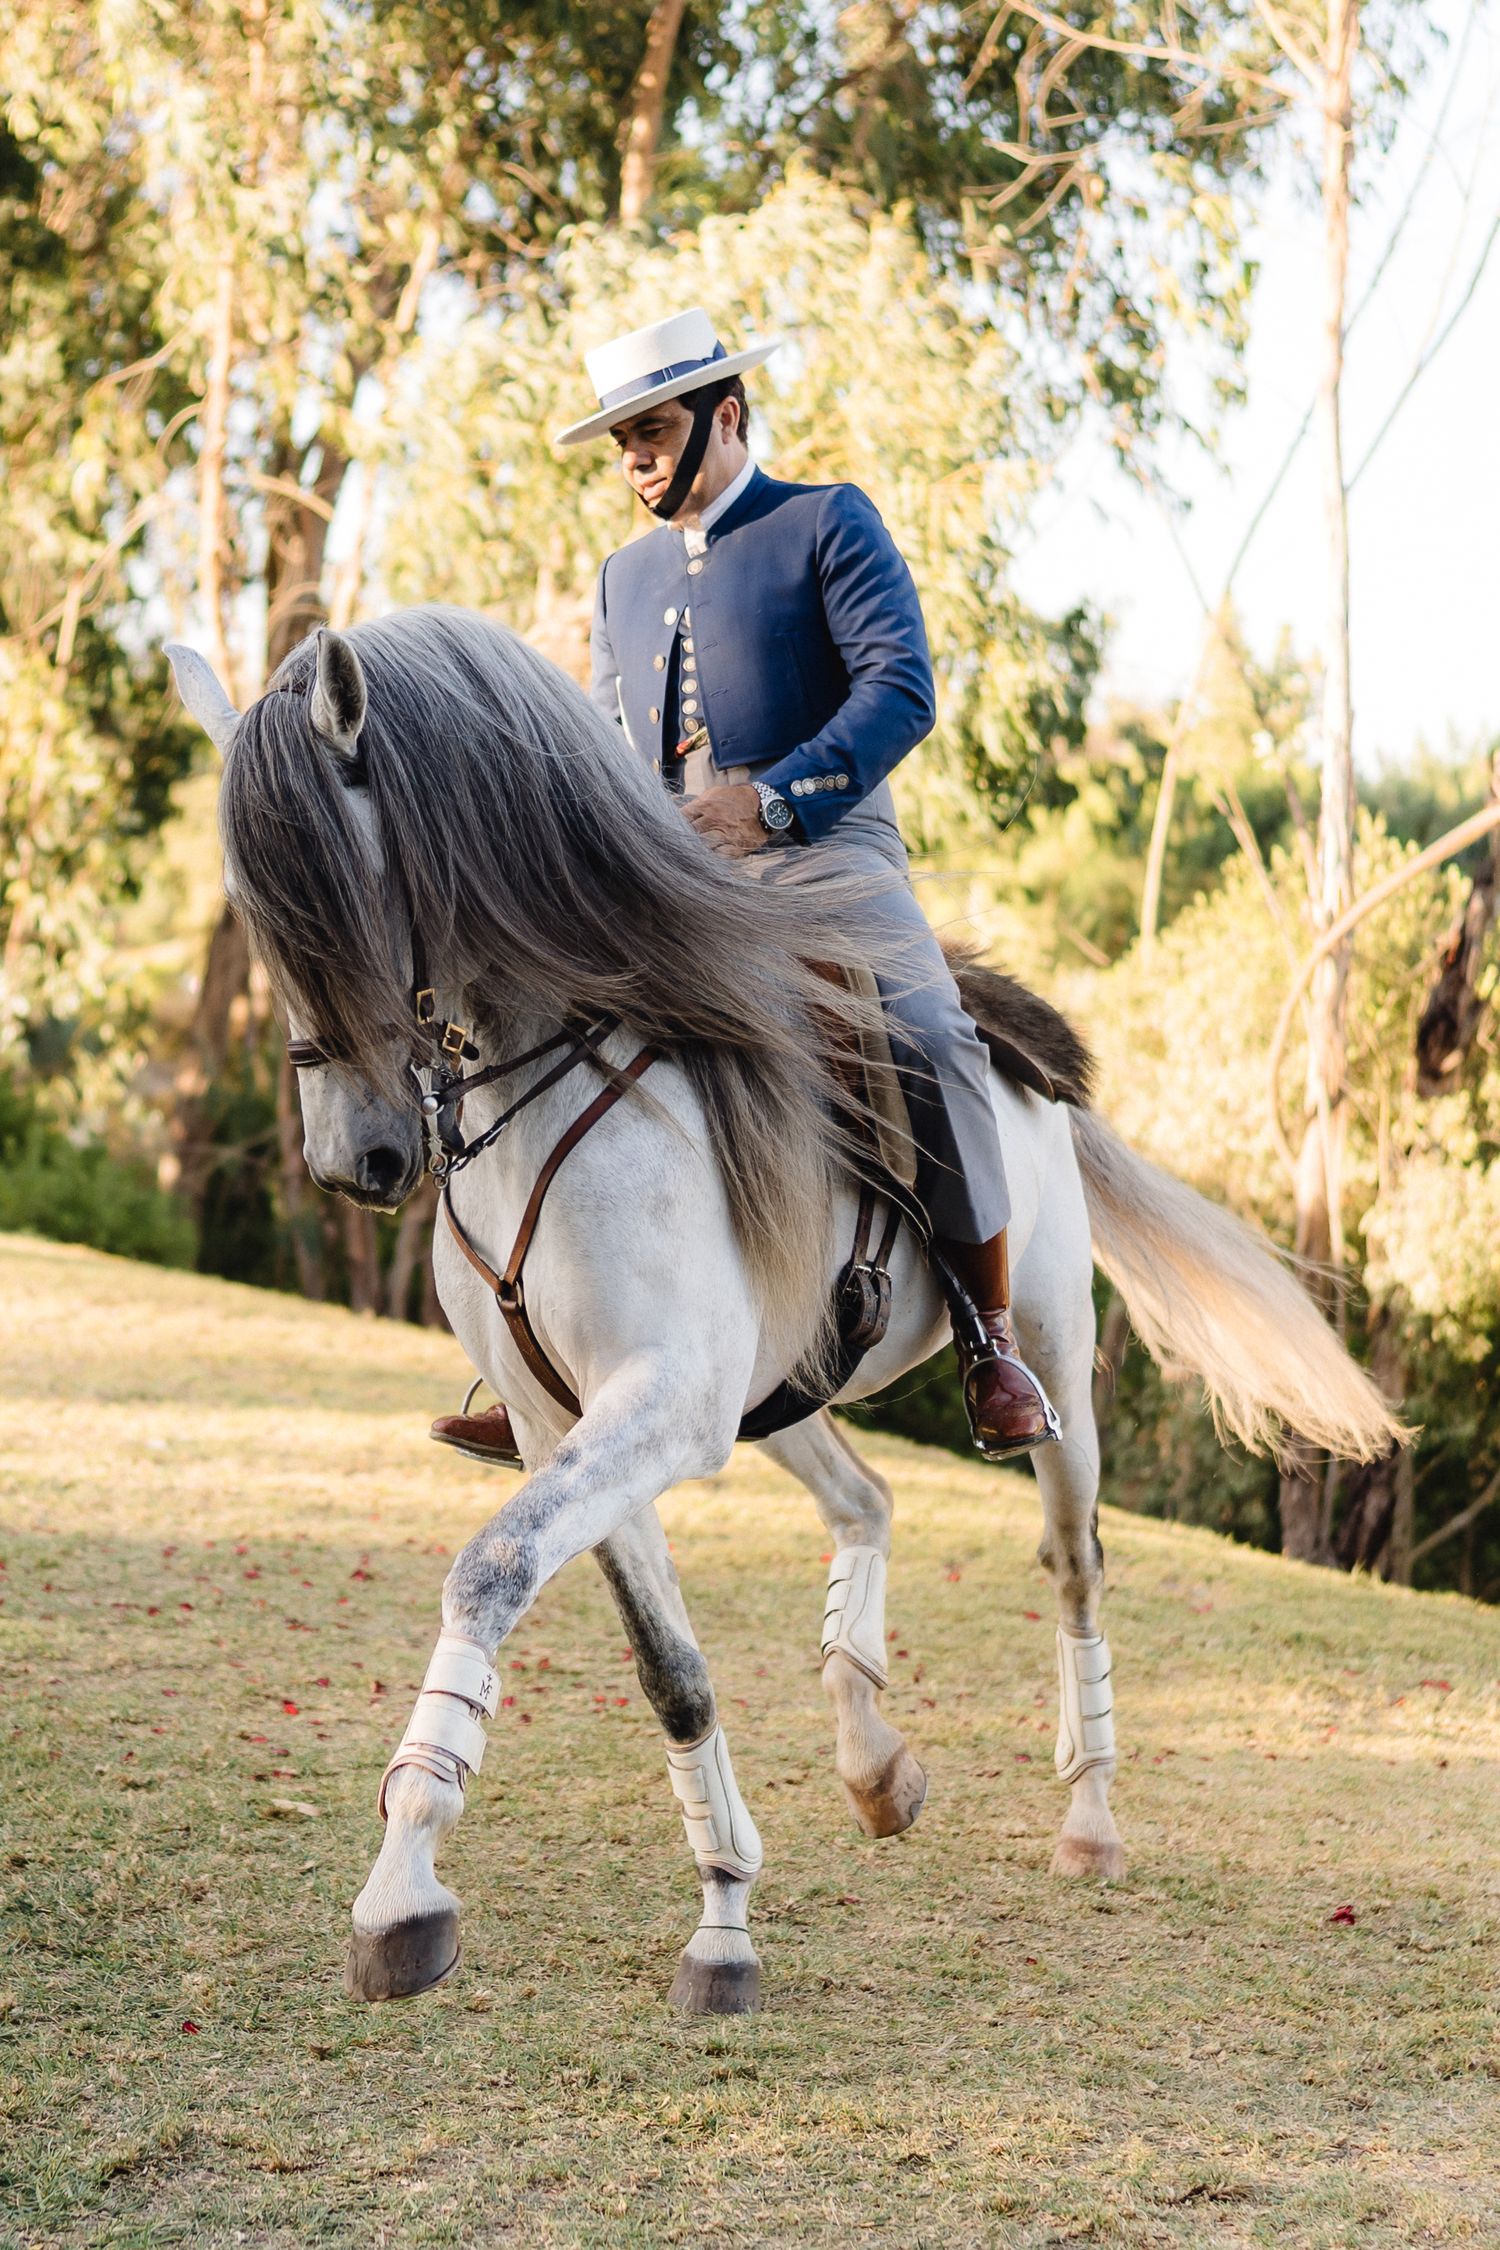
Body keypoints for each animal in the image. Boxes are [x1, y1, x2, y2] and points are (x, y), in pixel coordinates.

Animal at [167, 605, 1400, 2016]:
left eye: (347, 896)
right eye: (257, 913)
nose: (352, 1162)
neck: (544, 1093)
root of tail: (1013, 1056)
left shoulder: (657, 1407)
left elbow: (489, 1571)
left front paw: (405, 1886)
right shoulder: (565, 1425)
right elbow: (669, 1671)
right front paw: (721, 1917)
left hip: (1050, 1370)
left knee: (1074, 1562)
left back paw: (1088, 1817)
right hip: (780, 1391)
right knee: (869, 1499)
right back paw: (875, 1762)